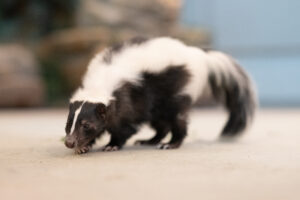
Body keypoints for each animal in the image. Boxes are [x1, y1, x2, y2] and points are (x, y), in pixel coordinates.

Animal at [63, 36, 255, 154]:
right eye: (69, 123)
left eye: (86, 125)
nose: (69, 142)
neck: (101, 81)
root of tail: (197, 55)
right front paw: (84, 147)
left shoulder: (129, 96)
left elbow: (124, 125)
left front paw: (112, 145)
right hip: (158, 104)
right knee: (162, 125)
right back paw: (149, 140)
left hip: (176, 91)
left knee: (178, 120)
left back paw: (170, 143)